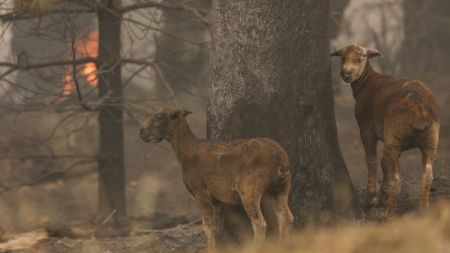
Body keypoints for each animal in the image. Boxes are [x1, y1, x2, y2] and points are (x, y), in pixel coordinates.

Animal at [139, 108, 294, 249]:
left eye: (158, 117)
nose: (141, 132)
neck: (184, 152)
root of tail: (280, 160)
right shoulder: (217, 200)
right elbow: (217, 228)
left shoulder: (199, 192)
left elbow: (207, 227)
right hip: (281, 188)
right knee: (286, 218)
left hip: (249, 189)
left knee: (260, 223)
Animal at [330, 44, 440, 218]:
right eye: (342, 57)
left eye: (363, 56)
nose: (347, 72)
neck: (368, 82)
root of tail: (419, 113)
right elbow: (383, 162)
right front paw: (383, 197)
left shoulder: (366, 128)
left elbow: (372, 160)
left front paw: (371, 200)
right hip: (429, 140)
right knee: (427, 176)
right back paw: (425, 209)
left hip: (395, 136)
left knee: (397, 179)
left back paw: (389, 214)